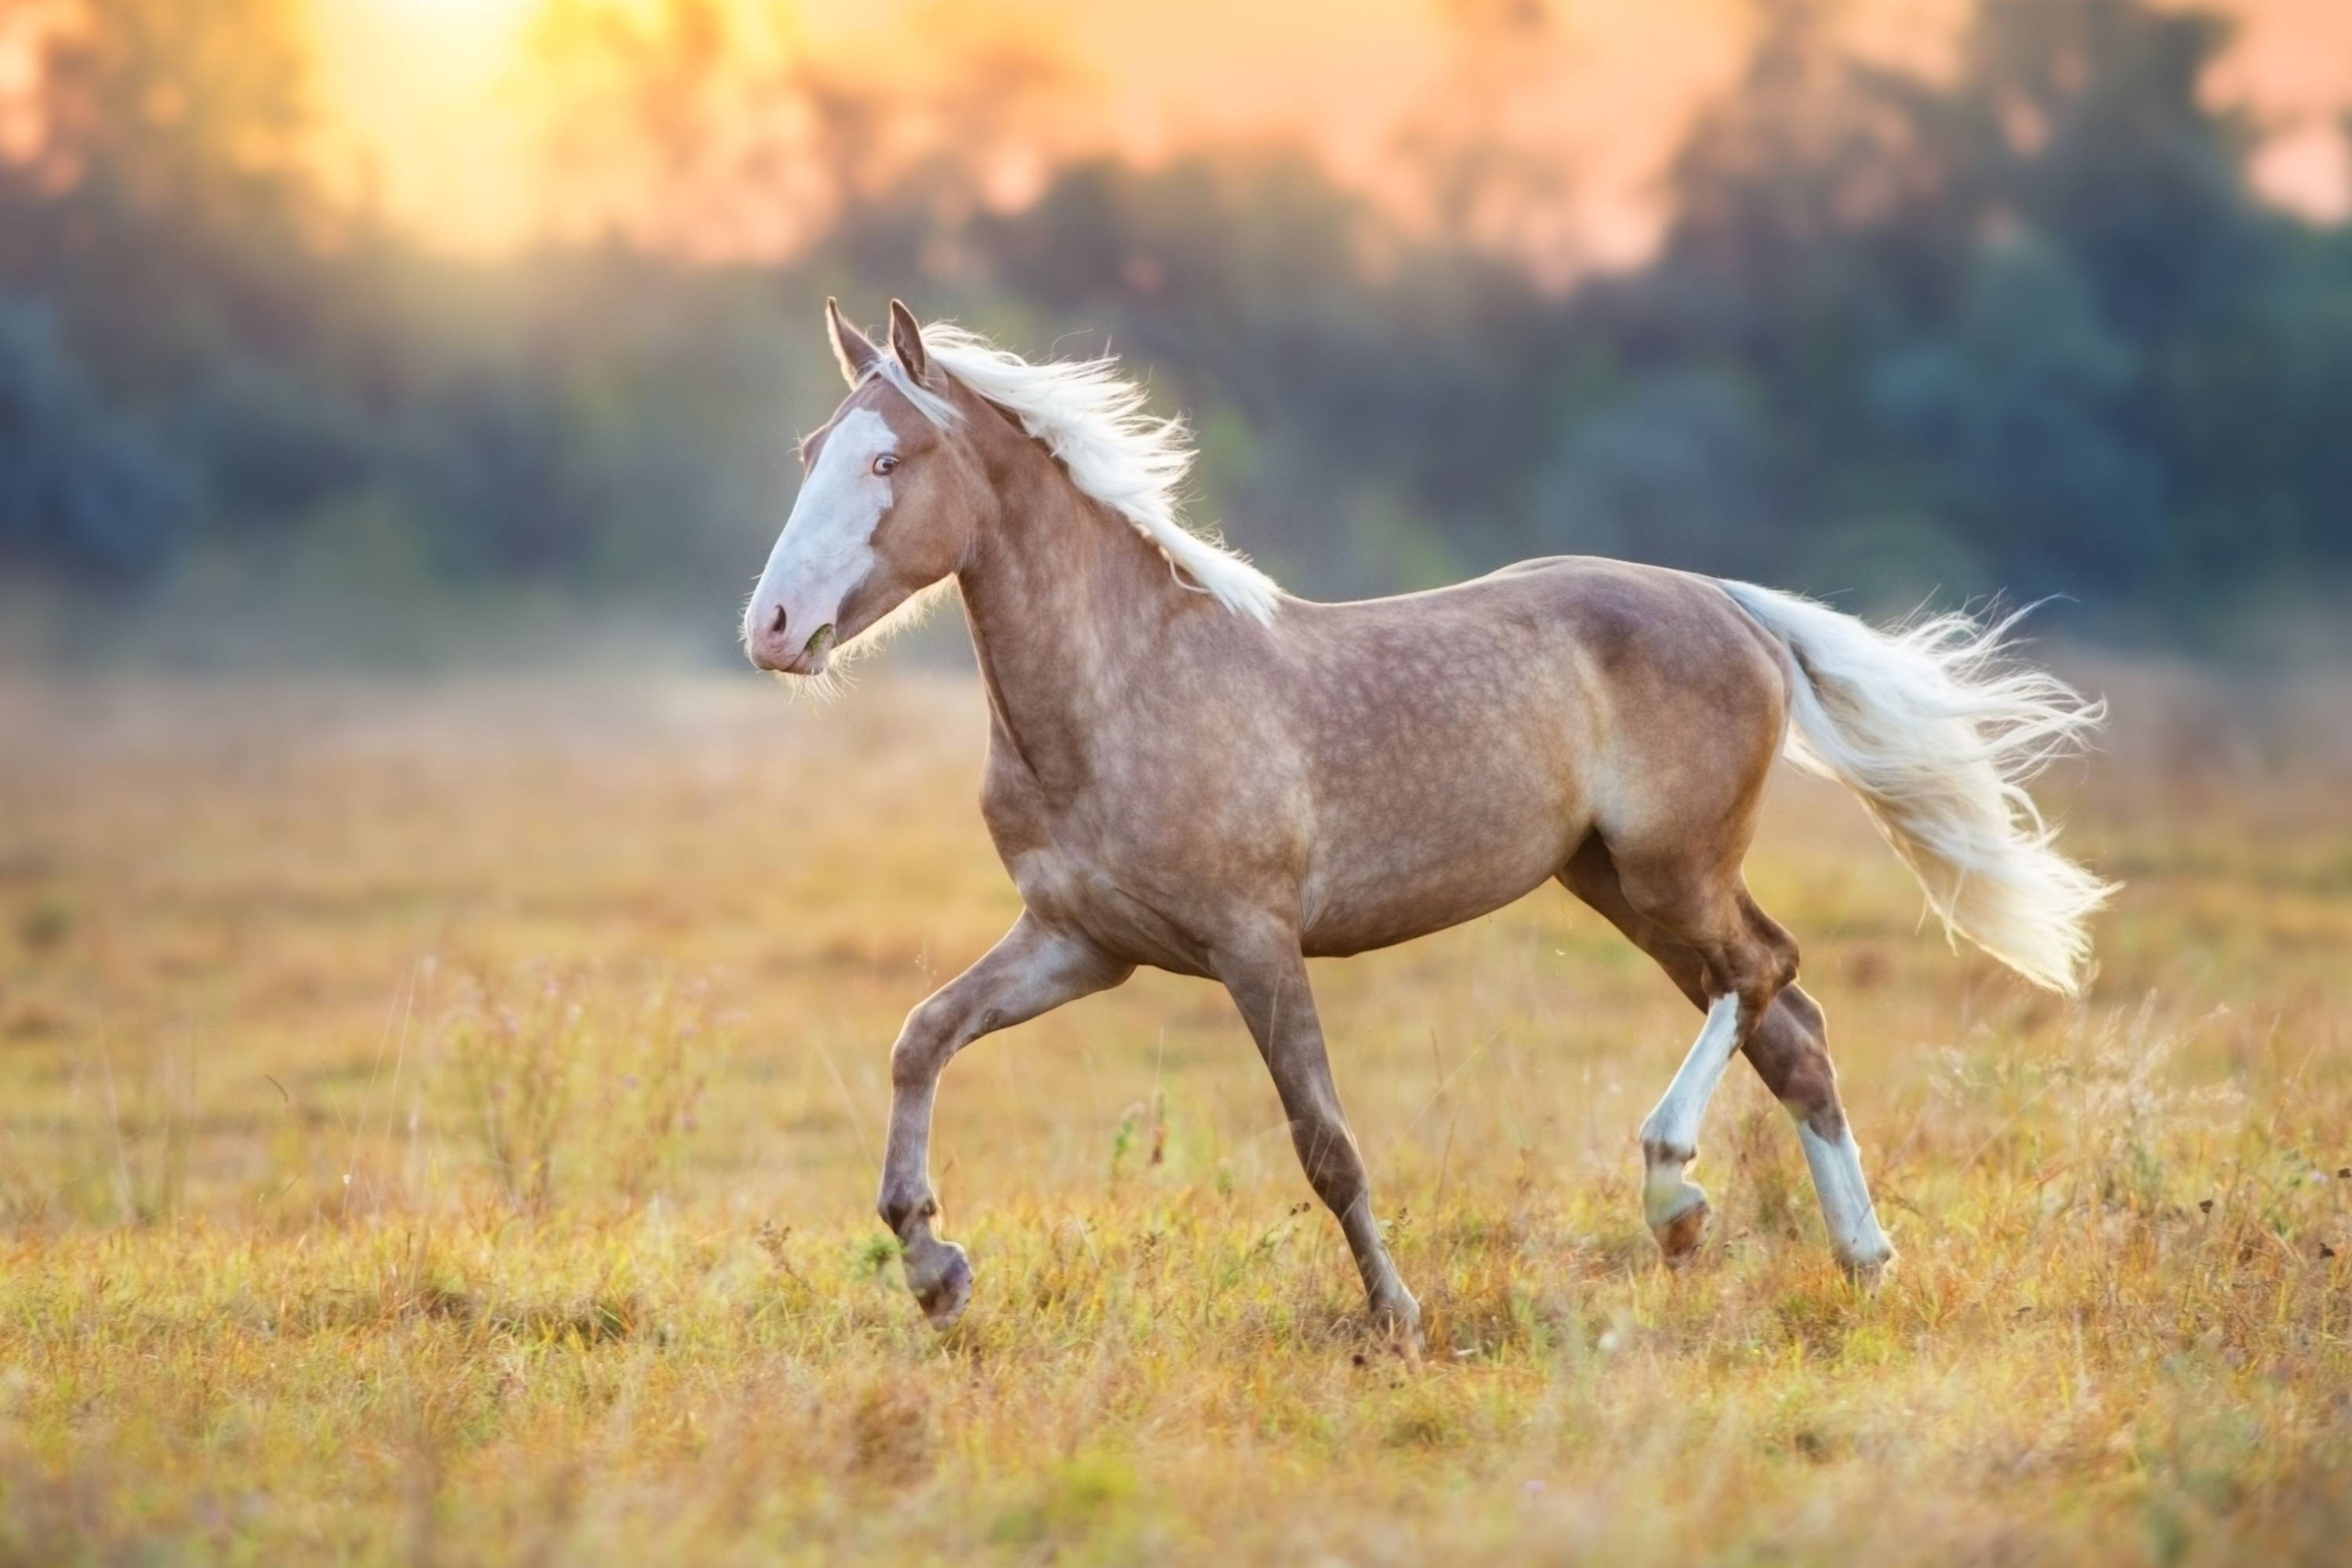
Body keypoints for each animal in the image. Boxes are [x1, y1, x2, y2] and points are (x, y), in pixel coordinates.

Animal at [743, 299, 2113, 1341]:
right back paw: (1860, 1262)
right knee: (1796, 1031)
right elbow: (921, 1038)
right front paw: (934, 1269)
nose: (772, 628)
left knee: (1765, 973)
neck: (1121, 686)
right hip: (1616, 884)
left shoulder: (1252, 943)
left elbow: (1326, 1142)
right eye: (807, 449)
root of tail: (1731, 604)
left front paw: (1397, 1316)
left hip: (1671, 871)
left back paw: (1674, 1194)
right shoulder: (1083, 944)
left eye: (888, 462)